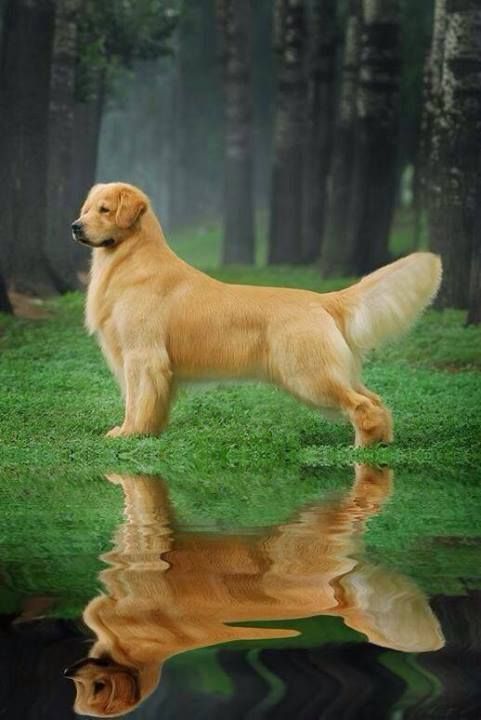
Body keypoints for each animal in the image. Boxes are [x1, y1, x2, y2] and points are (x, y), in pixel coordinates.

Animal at [69, 181, 440, 444]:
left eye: (104, 210)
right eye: (85, 209)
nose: (75, 226)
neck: (131, 260)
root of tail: (323, 300)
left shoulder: (142, 355)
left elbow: (136, 401)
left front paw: (130, 433)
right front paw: (147, 432)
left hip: (309, 375)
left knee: (363, 406)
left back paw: (361, 451)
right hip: (333, 371)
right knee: (376, 400)